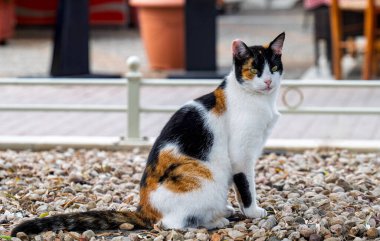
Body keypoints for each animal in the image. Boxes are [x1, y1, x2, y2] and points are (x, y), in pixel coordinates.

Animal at [11, 32, 284, 235]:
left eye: (273, 67)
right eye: (254, 69)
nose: (268, 81)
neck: (257, 99)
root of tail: (143, 209)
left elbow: (240, 189)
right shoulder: (241, 155)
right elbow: (246, 188)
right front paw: (253, 212)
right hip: (202, 177)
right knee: (170, 223)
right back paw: (213, 222)